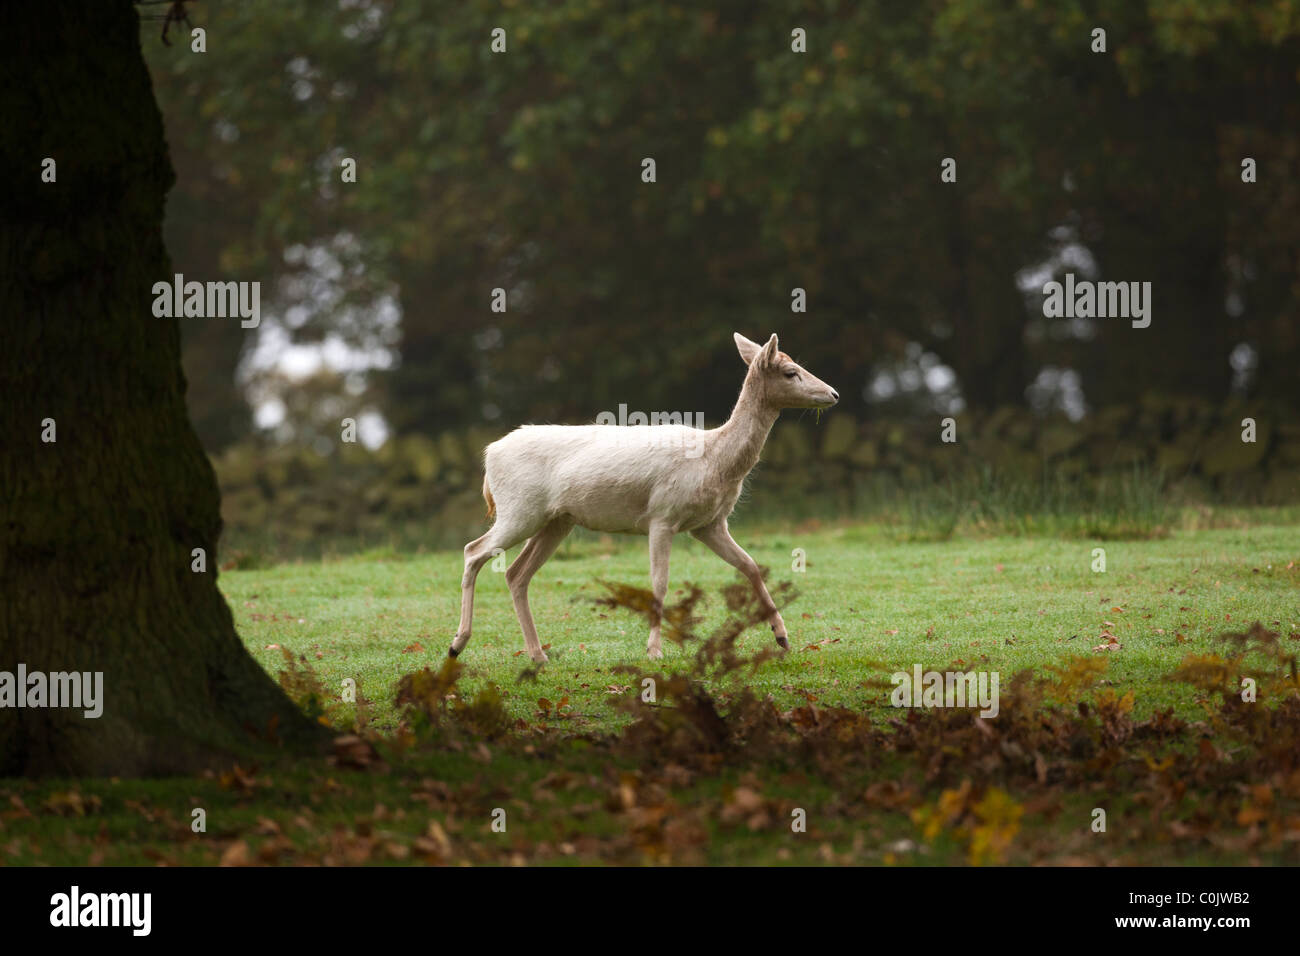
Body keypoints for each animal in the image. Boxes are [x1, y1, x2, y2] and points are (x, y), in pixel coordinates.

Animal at [449, 335, 842, 665]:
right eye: (791, 372)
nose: (834, 394)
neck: (714, 461)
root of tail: (489, 455)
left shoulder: (710, 524)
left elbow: (750, 566)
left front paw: (782, 637)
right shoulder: (663, 515)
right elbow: (659, 583)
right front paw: (654, 651)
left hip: (556, 520)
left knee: (515, 573)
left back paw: (538, 655)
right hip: (519, 509)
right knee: (472, 550)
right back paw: (457, 644)